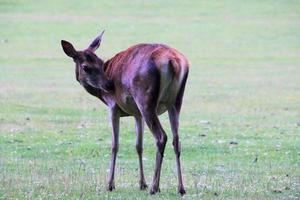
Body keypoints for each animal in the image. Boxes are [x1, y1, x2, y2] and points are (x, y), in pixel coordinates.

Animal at [59, 31, 189, 195]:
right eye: (86, 67)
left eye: (100, 63)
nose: (109, 84)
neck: (101, 96)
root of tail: (173, 62)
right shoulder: (137, 114)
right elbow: (139, 146)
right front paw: (142, 183)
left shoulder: (113, 106)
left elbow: (115, 144)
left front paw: (110, 184)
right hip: (176, 101)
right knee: (176, 140)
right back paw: (181, 188)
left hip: (145, 100)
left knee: (161, 136)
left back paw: (155, 187)